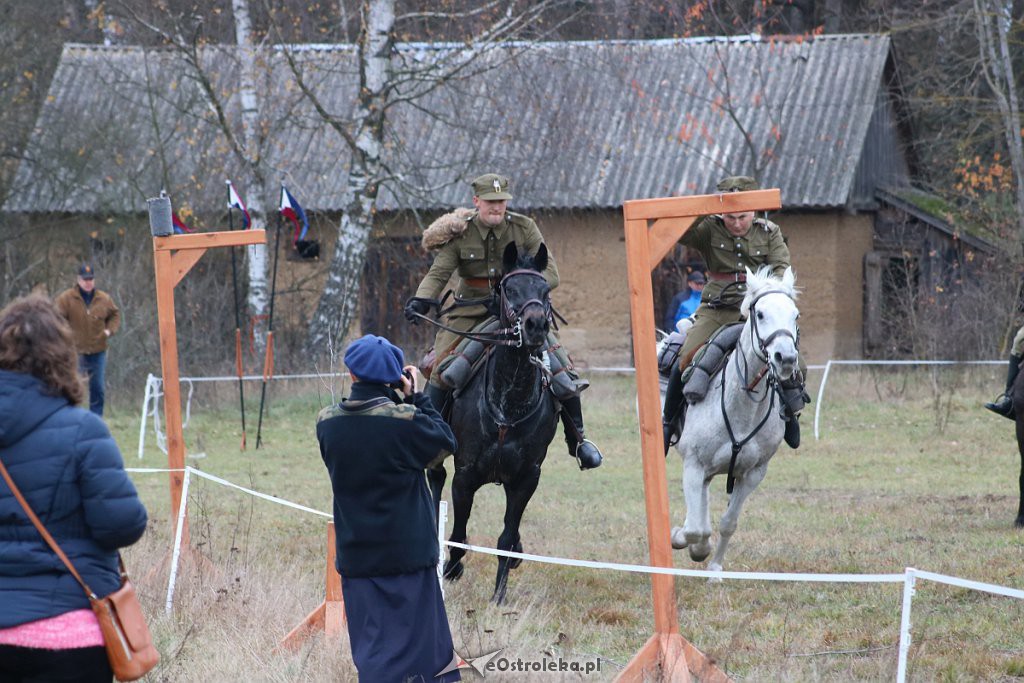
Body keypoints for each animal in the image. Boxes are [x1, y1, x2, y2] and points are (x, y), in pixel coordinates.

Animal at [430, 242, 565, 606]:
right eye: (510, 289)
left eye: (545, 291)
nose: (535, 326)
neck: (510, 401)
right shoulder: (465, 475)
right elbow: (459, 530)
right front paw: (452, 569)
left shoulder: (526, 479)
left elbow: (506, 538)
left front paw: (499, 597)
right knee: (435, 478)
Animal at [671, 264, 798, 573]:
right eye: (760, 313)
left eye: (795, 315)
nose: (786, 358)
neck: (743, 405)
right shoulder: (693, 465)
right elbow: (694, 530)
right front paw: (684, 540)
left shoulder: (753, 474)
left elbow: (728, 523)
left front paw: (714, 569)